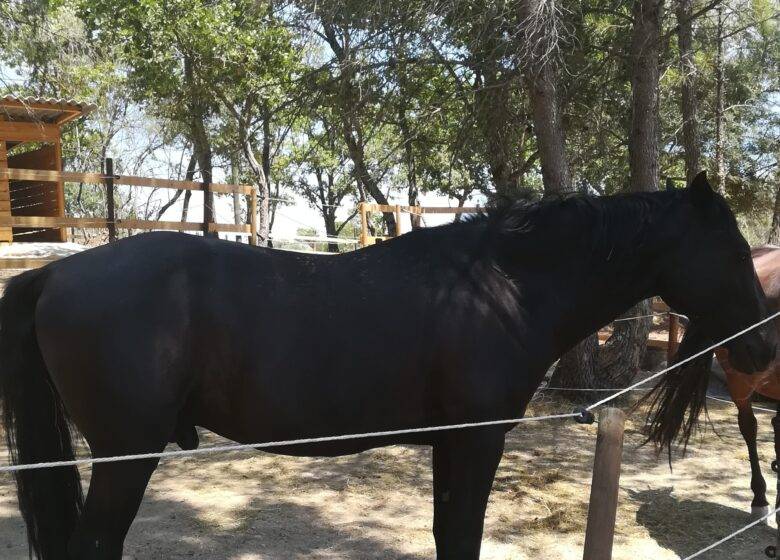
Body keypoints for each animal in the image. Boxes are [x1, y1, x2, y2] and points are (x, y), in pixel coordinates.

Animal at [0, 171, 774, 560]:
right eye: (737, 250)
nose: (763, 350)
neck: (501, 286)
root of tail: (57, 273)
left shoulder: (451, 444)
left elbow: (446, 535)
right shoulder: (477, 440)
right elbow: (461, 538)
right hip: (125, 458)